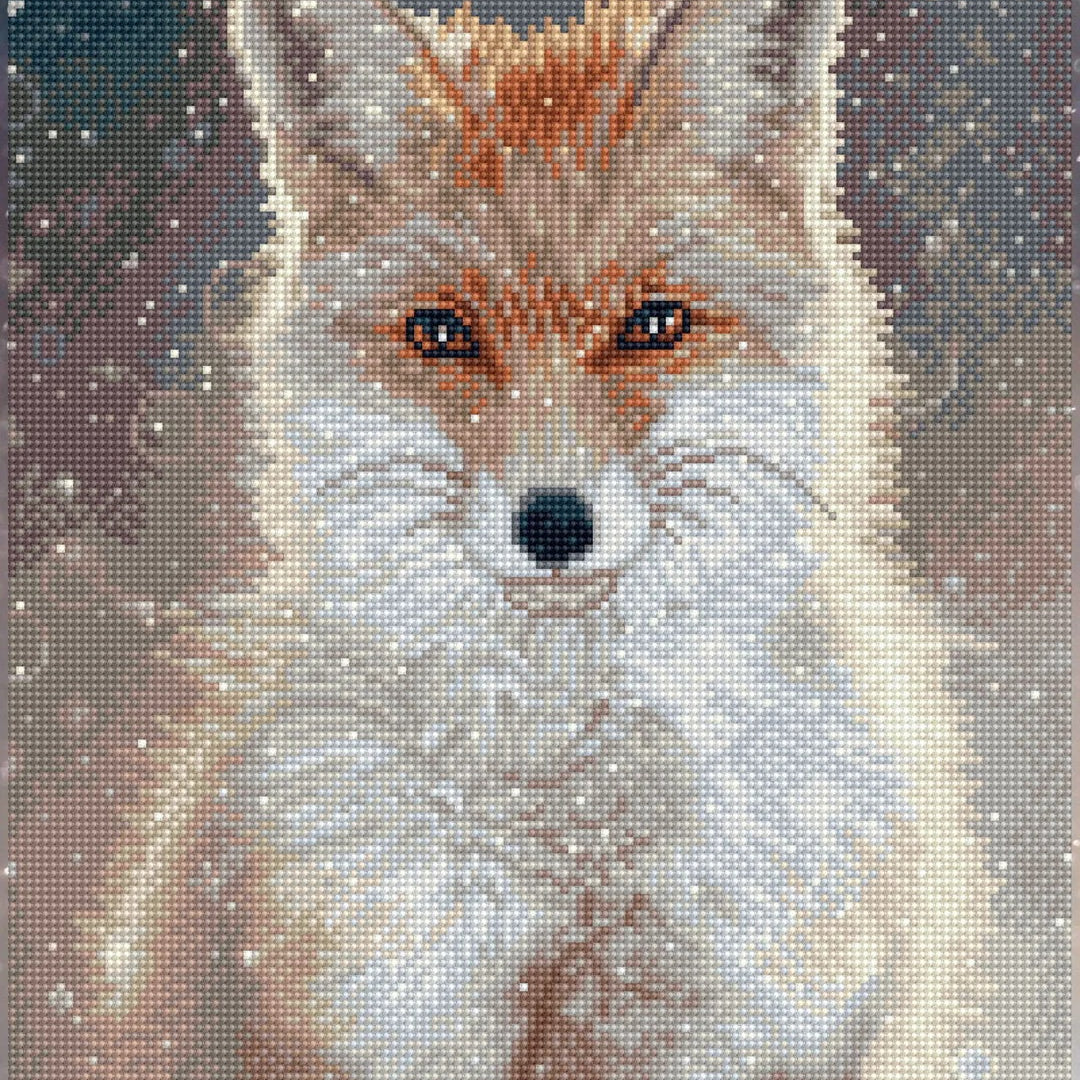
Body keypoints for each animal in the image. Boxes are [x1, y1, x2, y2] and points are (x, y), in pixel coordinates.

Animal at [86, 0, 995, 1076]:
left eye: (655, 323)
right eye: (441, 334)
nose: (554, 523)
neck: (578, 825)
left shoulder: (742, 1014)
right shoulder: (391, 1012)